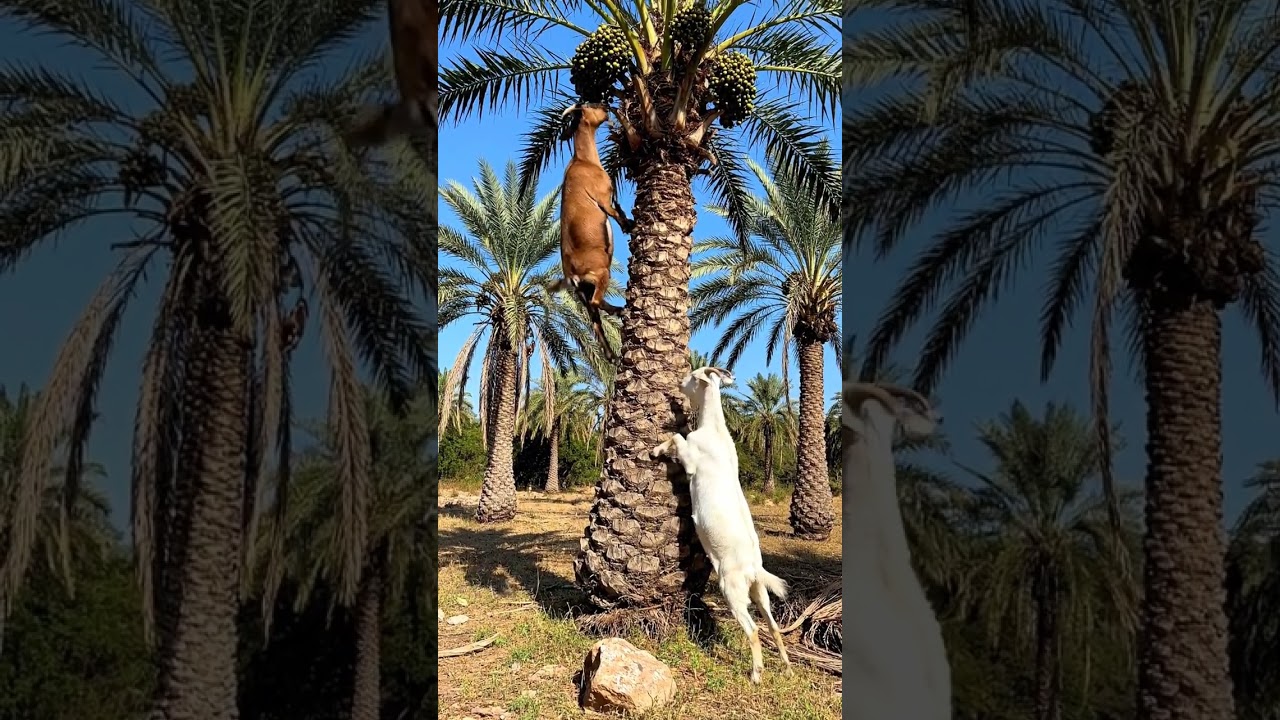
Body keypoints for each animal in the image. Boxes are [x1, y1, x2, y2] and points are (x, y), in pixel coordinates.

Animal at [547, 103, 634, 363]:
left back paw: (612, 353)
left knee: (594, 321)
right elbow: (615, 213)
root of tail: (570, 274)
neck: (582, 160)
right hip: (600, 273)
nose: (607, 105)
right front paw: (630, 225)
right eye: (590, 105)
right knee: (597, 303)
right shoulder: (604, 198)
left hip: (583, 295)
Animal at [650, 366, 793, 684]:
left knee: (754, 631)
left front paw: (655, 449)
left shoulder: (690, 457)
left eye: (692, 377)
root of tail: (753, 569)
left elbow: (677, 436)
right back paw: (787, 664)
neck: (714, 430)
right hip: (759, 593)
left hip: (732, 592)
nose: (678, 384)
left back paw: (756, 674)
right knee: (773, 626)